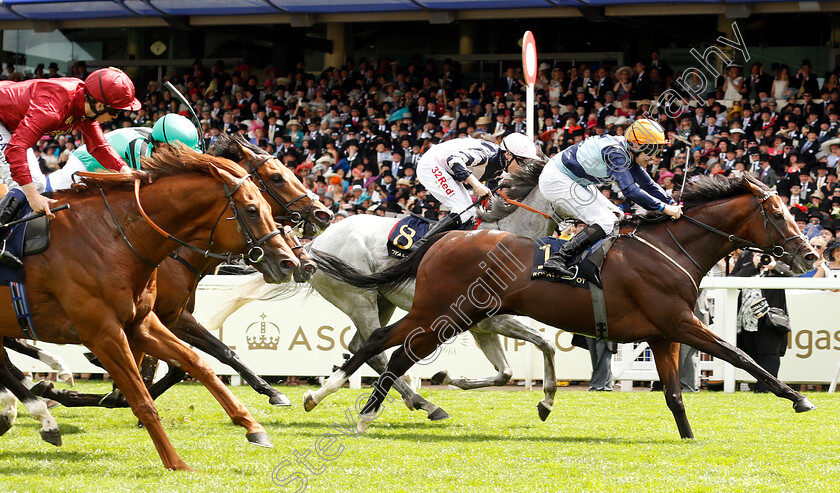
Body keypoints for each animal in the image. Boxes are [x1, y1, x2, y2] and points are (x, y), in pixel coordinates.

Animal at [0, 147, 300, 468]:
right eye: (253, 208)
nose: (290, 262)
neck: (116, 239)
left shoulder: (144, 322)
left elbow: (200, 364)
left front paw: (253, 424)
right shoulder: (105, 331)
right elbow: (142, 396)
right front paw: (175, 462)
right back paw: (41, 404)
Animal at [306, 175, 816, 436]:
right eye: (777, 213)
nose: (810, 255)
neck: (667, 247)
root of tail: (444, 239)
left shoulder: (663, 333)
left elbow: (674, 393)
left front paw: (688, 440)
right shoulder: (680, 322)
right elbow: (742, 355)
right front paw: (798, 397)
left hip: (439, 313)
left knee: (376, 343)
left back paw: (327, 394)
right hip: (438, 313)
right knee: (394, 354)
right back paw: (370, 412)